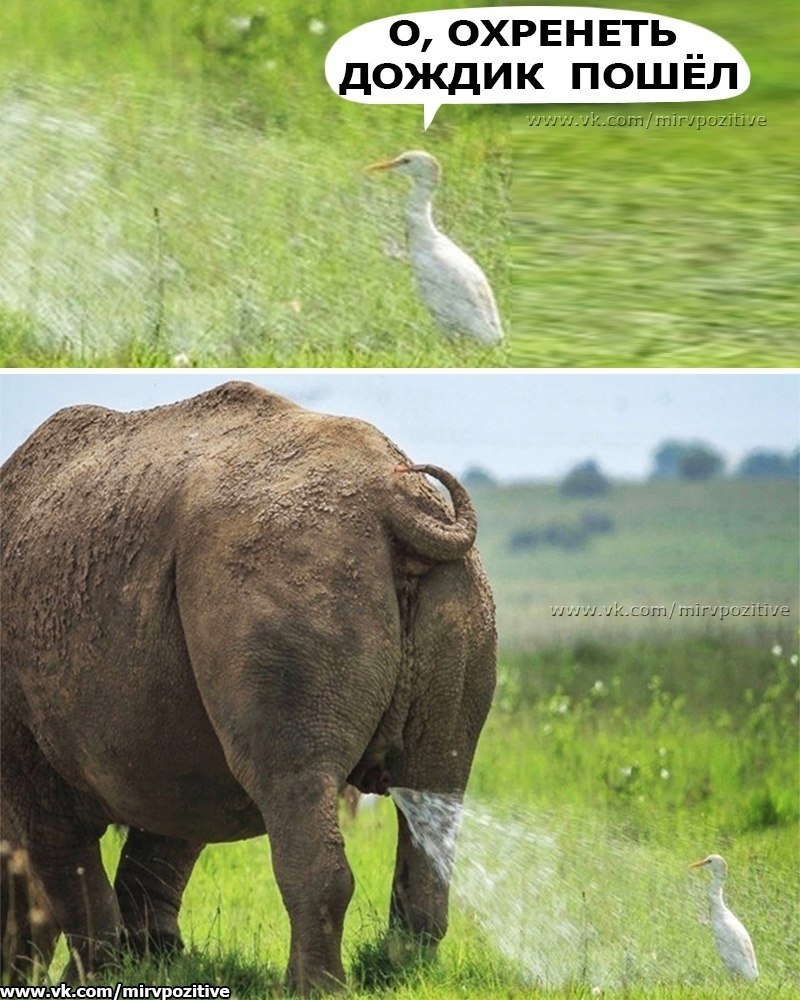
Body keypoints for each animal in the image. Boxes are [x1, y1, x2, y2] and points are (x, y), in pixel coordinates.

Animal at [1, 378, 494, 988]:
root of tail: (398, 498)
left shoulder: (28, 751)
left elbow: (64, 863)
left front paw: (99, 977)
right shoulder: (171, 739)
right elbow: (160, 844)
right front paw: (150, 961)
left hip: (283, 567)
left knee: (293, 778)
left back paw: (314, 991)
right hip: (452, 590)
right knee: (435, 788)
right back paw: (404, 976)